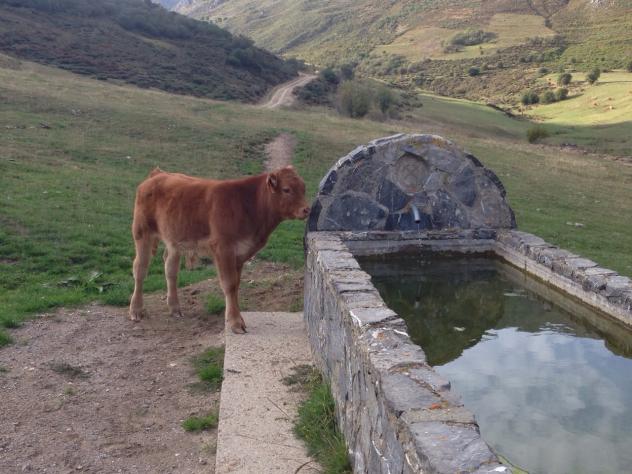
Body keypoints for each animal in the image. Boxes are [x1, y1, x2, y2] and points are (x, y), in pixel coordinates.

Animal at [128, 166, 310, 333]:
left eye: (303, 187)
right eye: (287, 189)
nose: (307, 209)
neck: (248, 204)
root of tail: (159, 174)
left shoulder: (239, 253)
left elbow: (236, 285)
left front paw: (233, 318)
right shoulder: (223, 249)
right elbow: (229, 284)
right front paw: (235, 322)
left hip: (175, 239)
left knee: (170, 269)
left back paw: (174, 308)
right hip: (142, 232)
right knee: (140, 269)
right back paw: (136, 310)